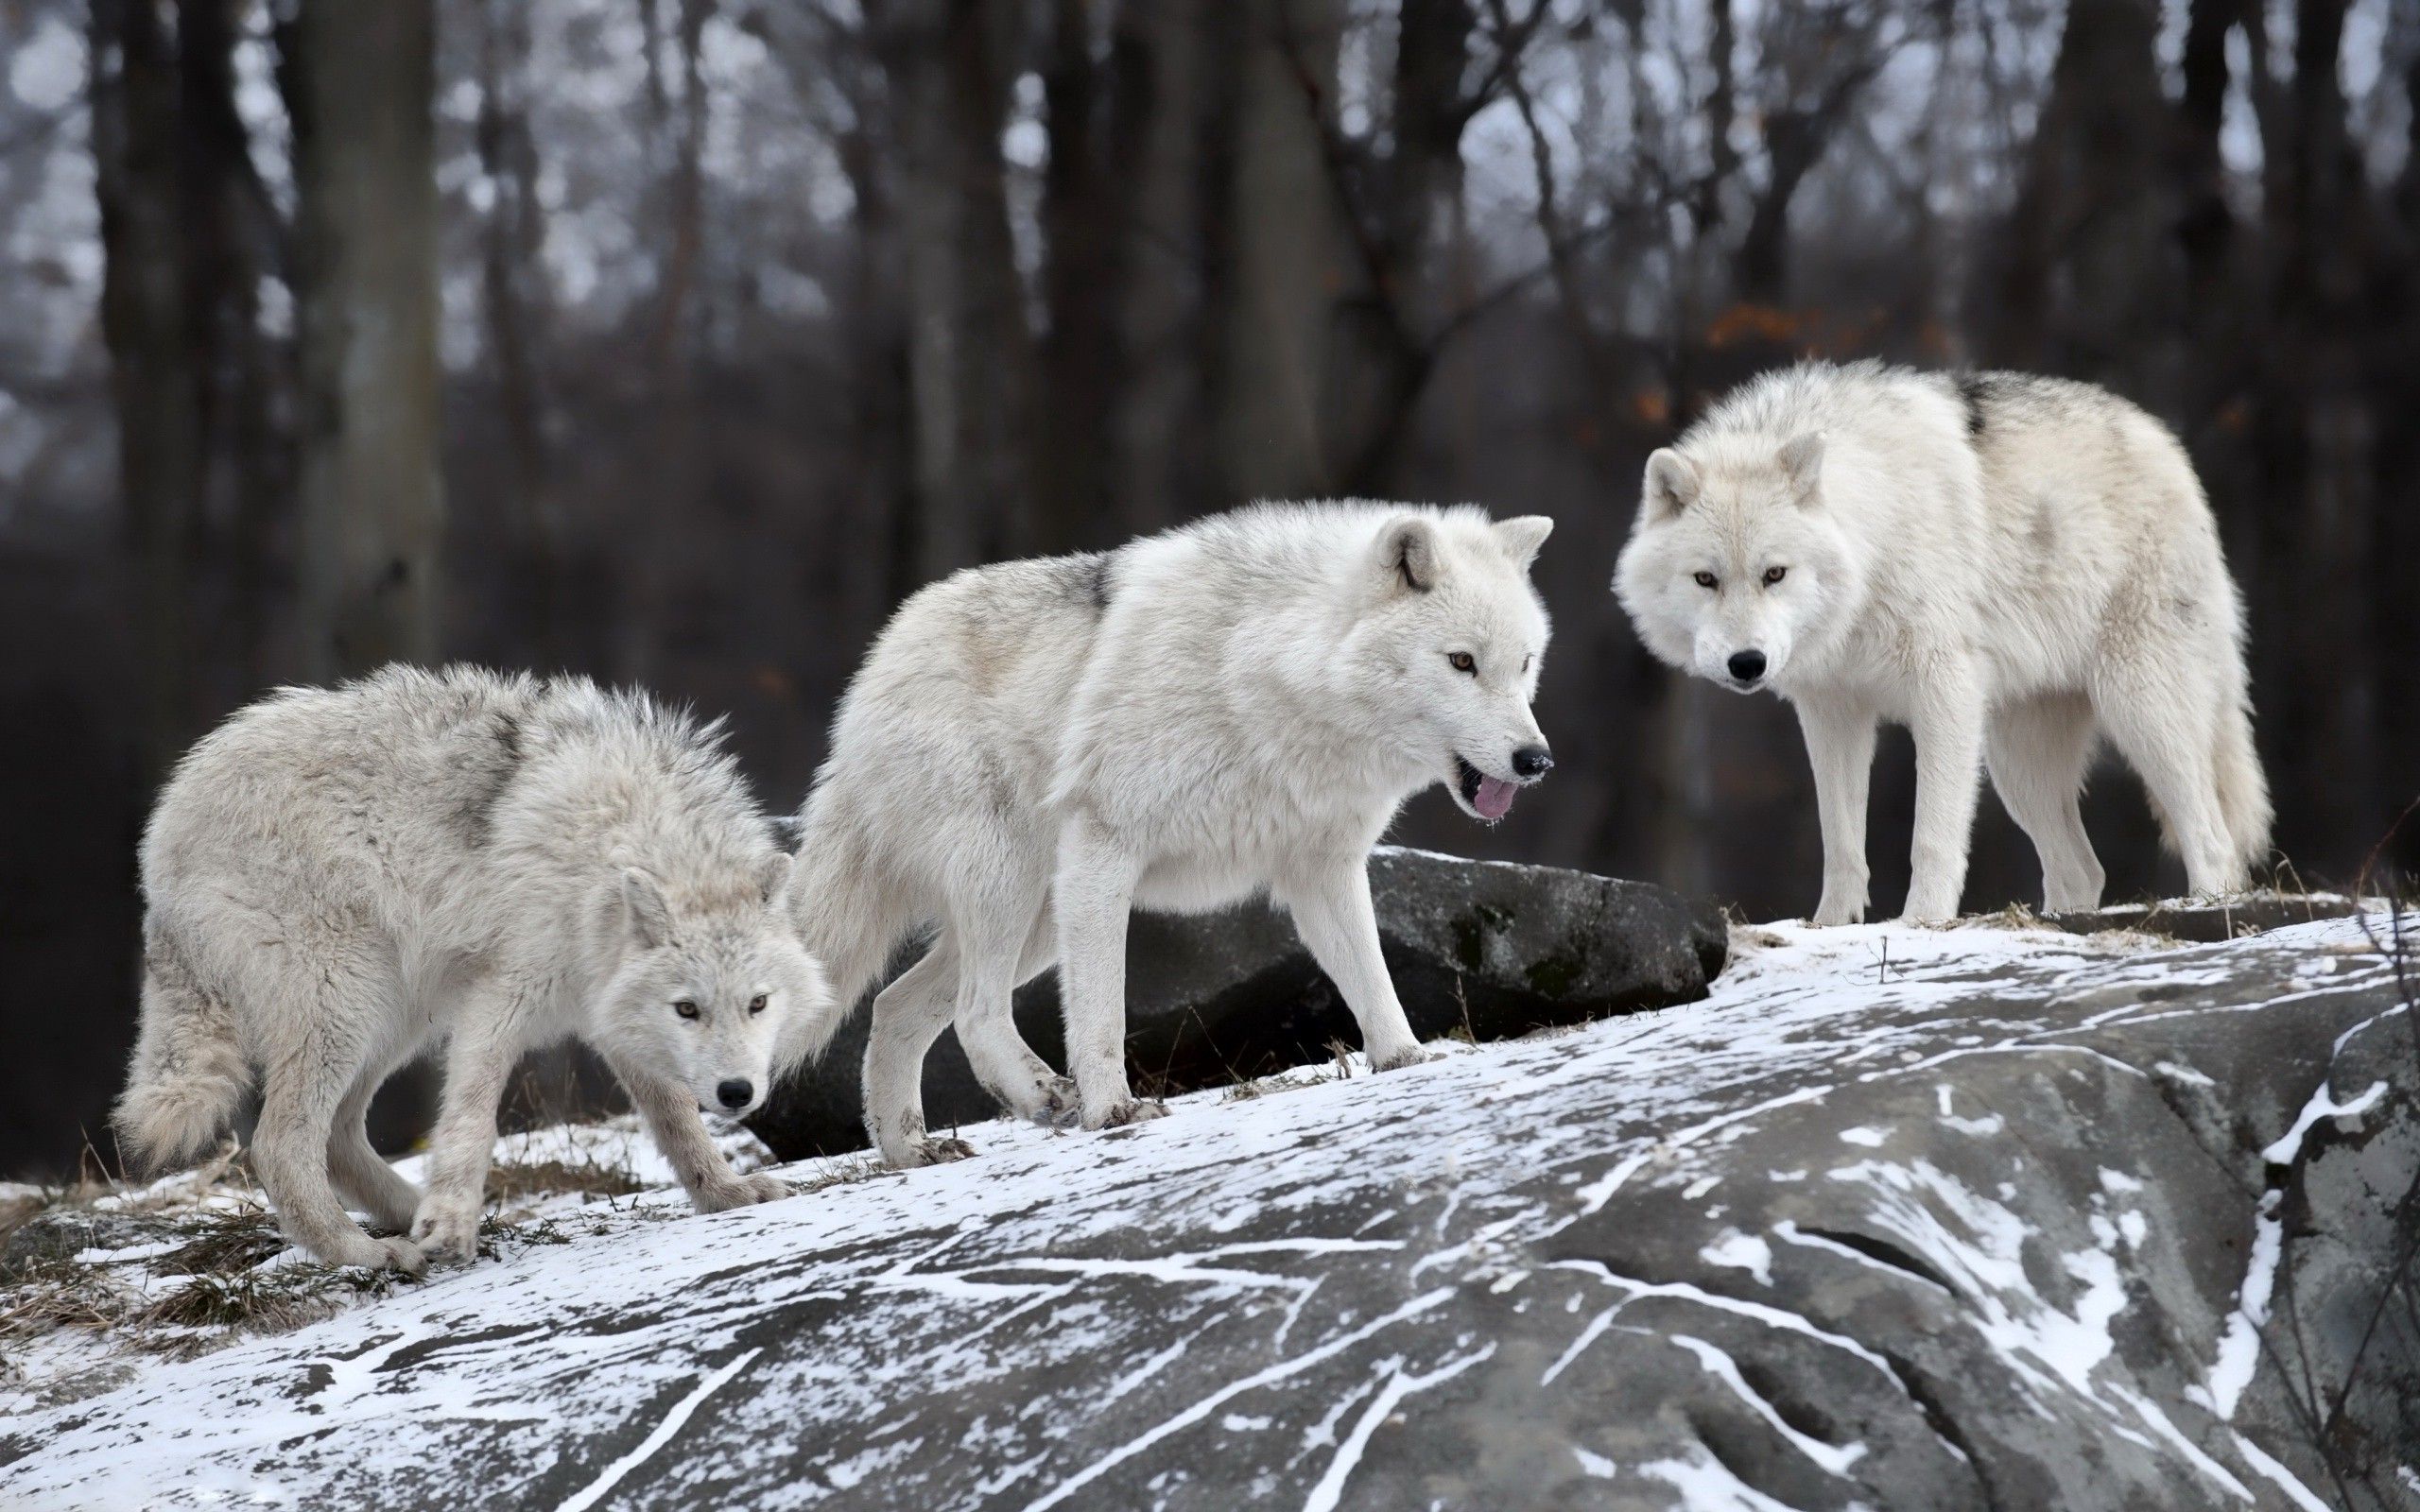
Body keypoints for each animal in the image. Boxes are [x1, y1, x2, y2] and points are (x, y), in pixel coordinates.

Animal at [115, 665, 832, 1271]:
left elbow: (677, 1119)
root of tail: (162, 830)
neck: (606, 847)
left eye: (758, 1004)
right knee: (280, 1147)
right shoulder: (500, 995)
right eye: (688, 1009)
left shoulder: (609, 1012)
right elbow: (472, 1117)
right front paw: (451, 1221)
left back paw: (415, 1218)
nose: (737, 1093)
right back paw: (367, 1252)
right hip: (351, 1003)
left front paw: (725, 1193)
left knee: (339, 1139)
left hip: (396, 1015)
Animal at [789, 503, 1556, 1167]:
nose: (1536, 760)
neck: (1266, 675)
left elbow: (1372, 979)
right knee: (976, 1012)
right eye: (1462, 662)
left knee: (893, 1006)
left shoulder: (1323, 870)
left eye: (1523, 664)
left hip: (1040, 917)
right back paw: (1042, 1098)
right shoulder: (1105, 849)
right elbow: (1101, 1012)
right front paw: (1113, 1112)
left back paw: (910, 1151)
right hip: (1014, 886)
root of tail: (875, 667)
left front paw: (1405, 1062)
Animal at [1615, 360, 2269, 924]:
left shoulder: (1944, 692)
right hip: (2018, 765)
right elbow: (1841, 844)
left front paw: (1921, 922)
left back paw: (2207, 908)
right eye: (1706, 579)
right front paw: (1830, 927)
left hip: (2139, 711)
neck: (1875, 537)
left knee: (2213, 840)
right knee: (2083, 870)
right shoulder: (1832, 712)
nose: (1747, 664)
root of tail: (2168, 445)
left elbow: (1930, 837)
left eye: (1774, 574)